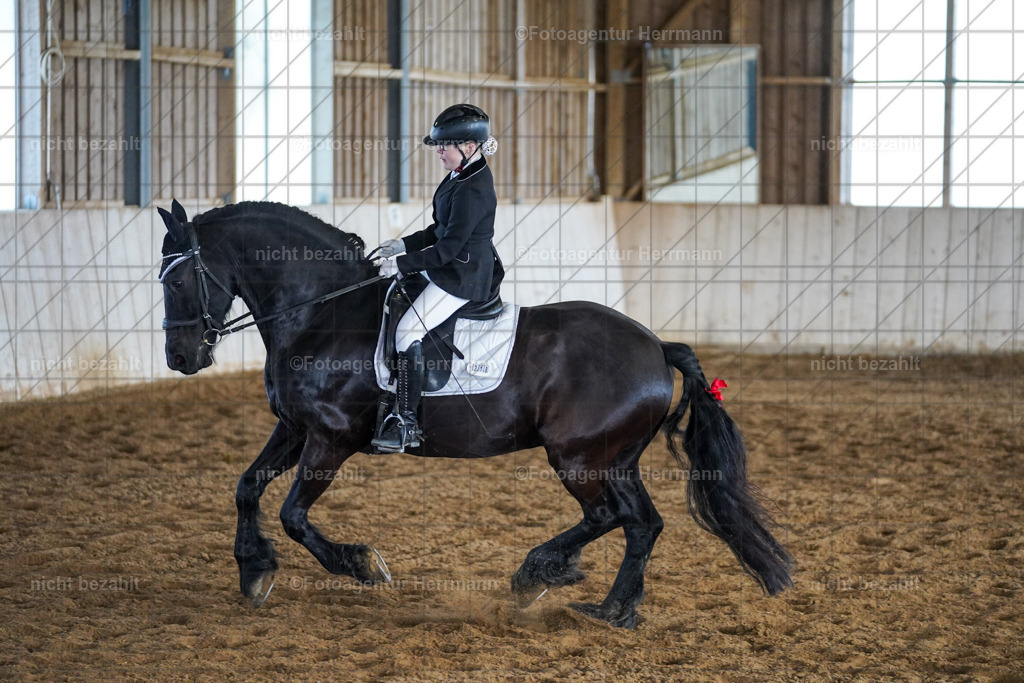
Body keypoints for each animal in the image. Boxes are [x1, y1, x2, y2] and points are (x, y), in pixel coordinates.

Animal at [157, 199, 792, 629]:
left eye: (180, 279)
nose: (180, 358)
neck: (321, 314)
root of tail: (657, 347)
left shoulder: (330, 439)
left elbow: (292, 514)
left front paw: (361, 565)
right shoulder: (294, 428)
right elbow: (246, 487)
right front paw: (254, 570)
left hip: (578, 457)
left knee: (613, 516)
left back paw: (541, 576)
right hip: (614, 459)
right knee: (641, 523)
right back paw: (608, 608)